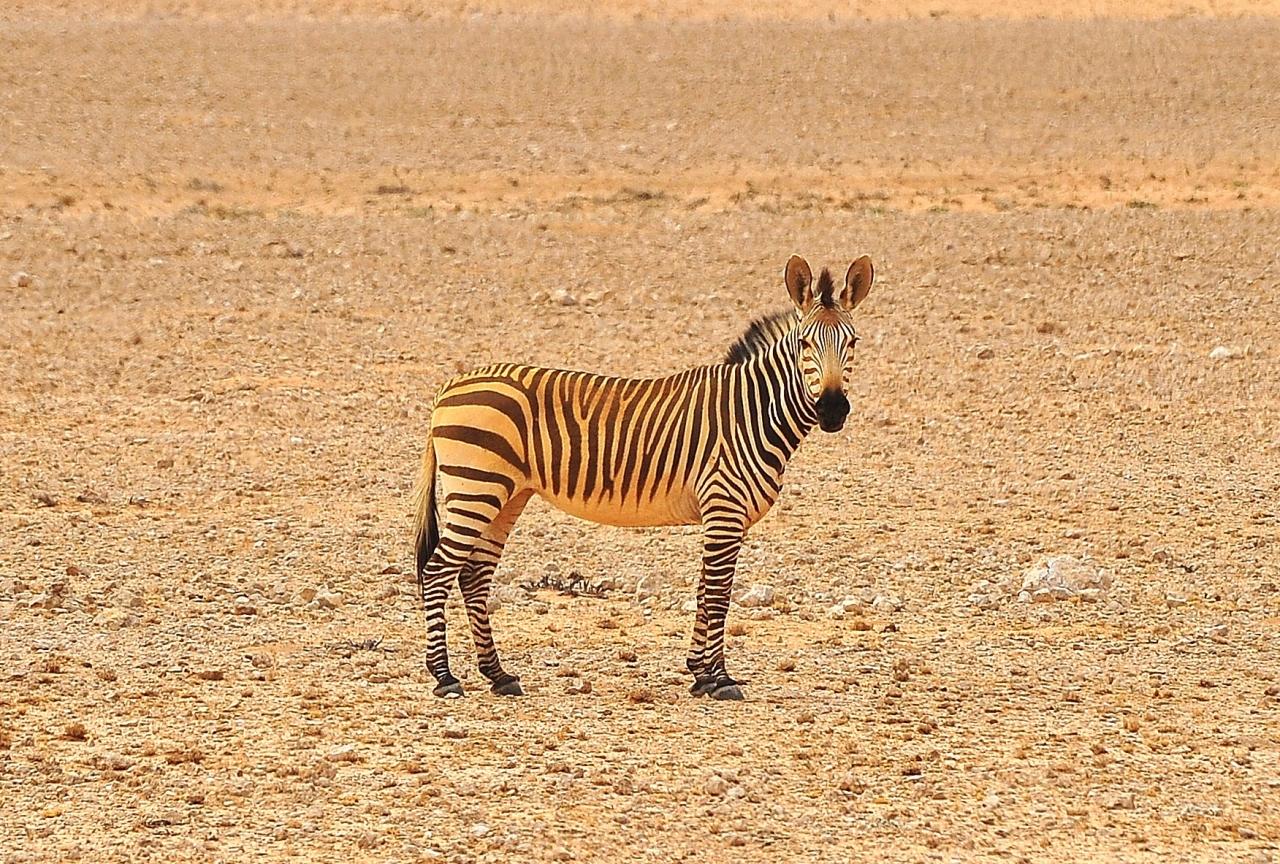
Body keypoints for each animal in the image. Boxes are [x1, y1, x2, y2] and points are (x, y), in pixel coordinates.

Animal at [414, 253, 875, 701]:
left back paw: (498, 674)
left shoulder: (722, 516)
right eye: (804, 344)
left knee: (473, 576)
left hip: (506, 495)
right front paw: (720, 678)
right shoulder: (724, 508)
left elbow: (705, 589)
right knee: (438, 571)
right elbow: (719, 593)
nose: (832, 410)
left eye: (853, 342)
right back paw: (445, 676)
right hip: (477, 488)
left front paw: (699, 674)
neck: (753, 412)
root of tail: (450, 385)